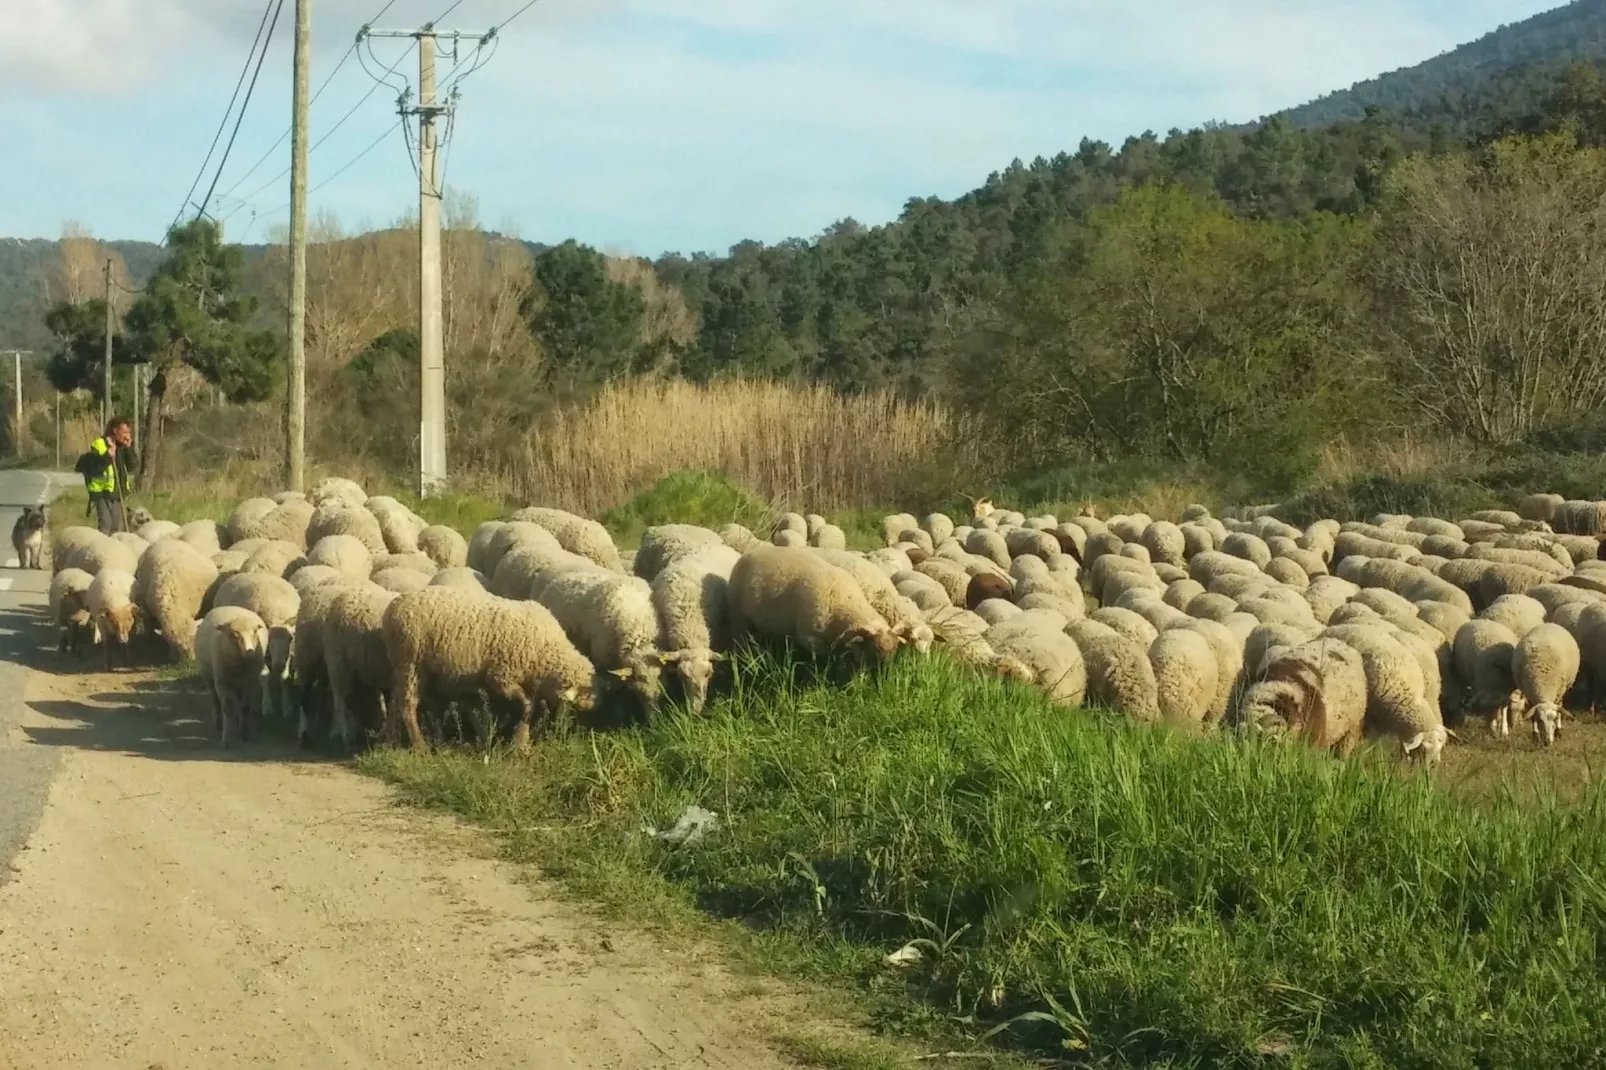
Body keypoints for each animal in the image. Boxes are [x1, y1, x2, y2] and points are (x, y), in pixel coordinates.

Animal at [195, 604, 269, 745]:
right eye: (235, 635)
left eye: (254, 632)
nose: (250, 651)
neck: (241, 664)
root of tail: (228, 606)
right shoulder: (222, 682)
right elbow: (227, 709)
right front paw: (225, 739)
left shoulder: (249, 681)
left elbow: (245, 708)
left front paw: (244, 733)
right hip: (209, 678)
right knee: (215, 701)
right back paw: (219, 726)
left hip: (238, 684)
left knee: (238, 703)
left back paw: (237, 724)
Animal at [383, 584, 603, 748]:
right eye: (574, 707)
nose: (567, 732)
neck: (545, 648)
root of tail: (393, 606)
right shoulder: (501, 677)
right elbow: (526, 705)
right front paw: (519, 741)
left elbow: (530, 709)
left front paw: (521, 742)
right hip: (411, 664)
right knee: (407, 704)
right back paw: (419, 745)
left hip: (402, 666)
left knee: (394, 700)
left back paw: (390, 739)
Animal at [732, 549, 905, 668]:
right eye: (873, 651)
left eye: (895, 650)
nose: (884, 677)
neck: (842, 601)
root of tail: (751, 552)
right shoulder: (809, 637)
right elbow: (821, 660)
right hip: (739, 616)